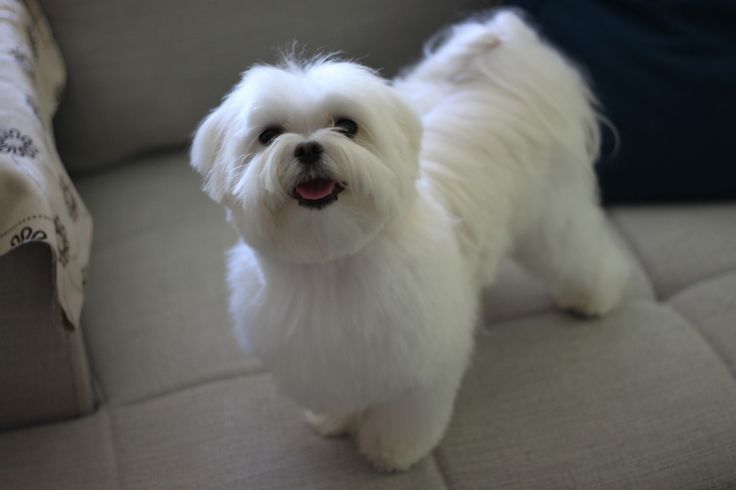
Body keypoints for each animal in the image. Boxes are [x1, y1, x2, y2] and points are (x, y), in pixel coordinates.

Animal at [188, 10, 628, 470]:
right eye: (269, 135)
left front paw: (393, 451)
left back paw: (595, 297)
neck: (333, 258)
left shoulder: (421, 354)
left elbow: (408, 411)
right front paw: (335, 420)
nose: (307, 148)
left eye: (347, 126)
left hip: (551, 217)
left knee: (579, 251)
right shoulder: (325, 356)